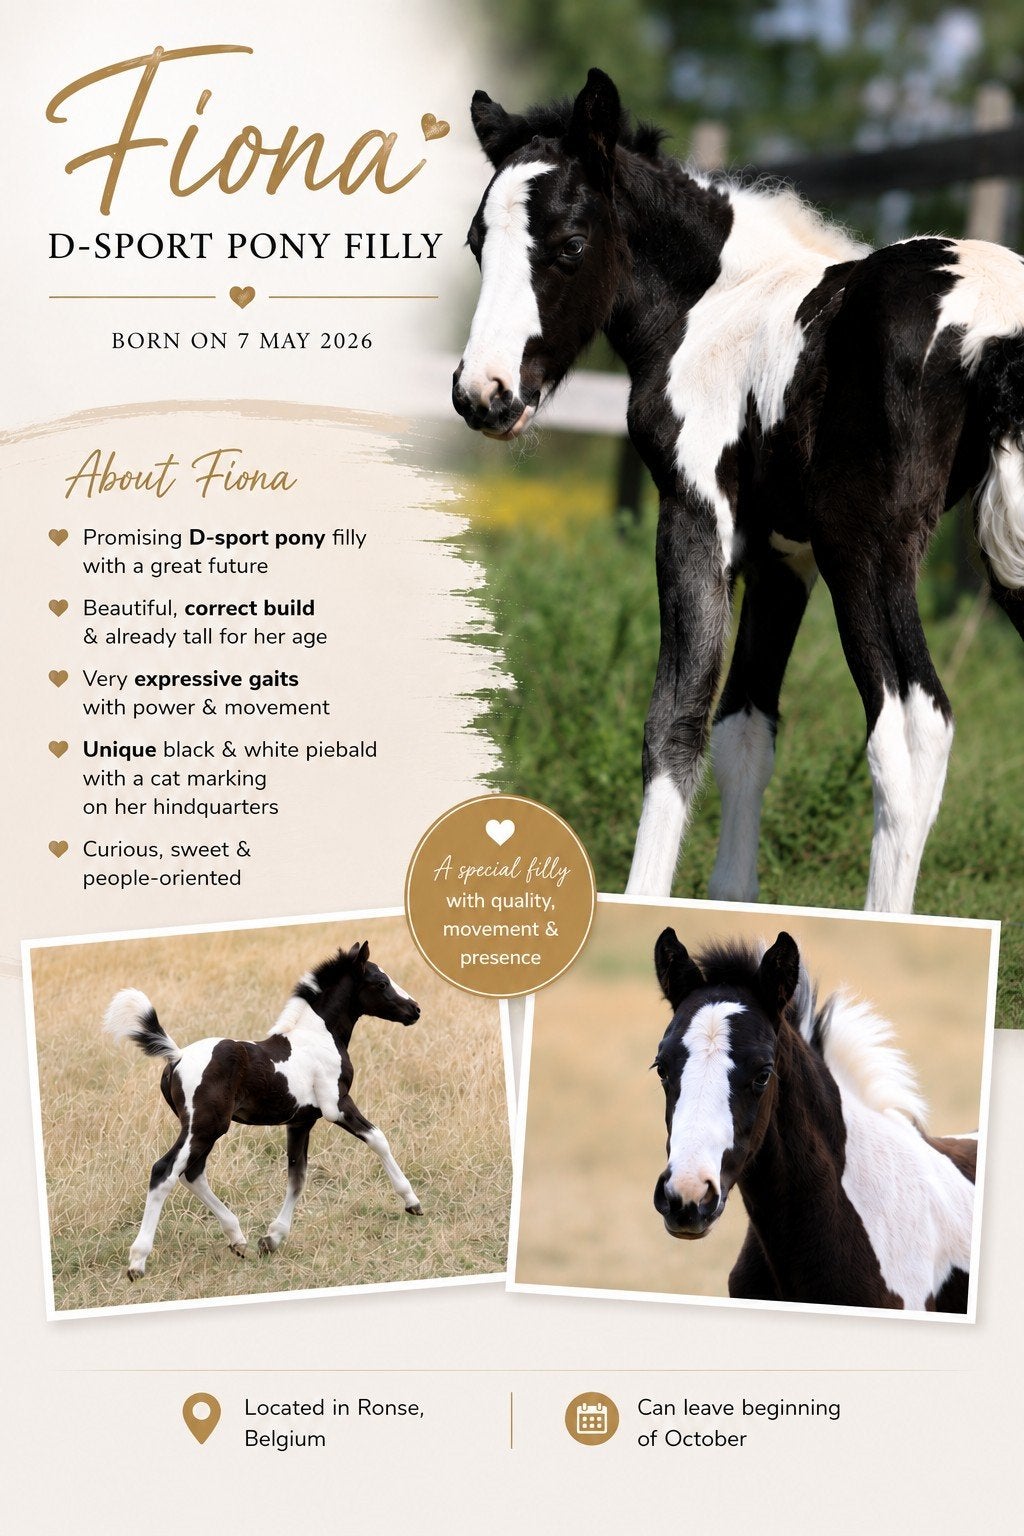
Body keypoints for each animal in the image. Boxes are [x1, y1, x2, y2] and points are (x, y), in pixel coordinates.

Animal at [103, 940, 423, 1279]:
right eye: (381, 983)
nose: (415, 1010)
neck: (319, 1035)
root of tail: (177, 1056)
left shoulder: (301, 1121)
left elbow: (297, 1176)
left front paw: (271, 1238)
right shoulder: (336, 1105)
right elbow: (378, 1139)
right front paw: (412, 1201)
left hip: (204, 1128)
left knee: (193, 1173)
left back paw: (237, 1238)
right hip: (204, 1126)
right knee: (165, 1171)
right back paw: (138, 1261)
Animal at [453, 67, 1024, 914]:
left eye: (571, 245)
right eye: (475, 244)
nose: (483, 395)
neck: (718, 307)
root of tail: (997, 329)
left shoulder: (697, 520)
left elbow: (676, 720)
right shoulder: (783, 562)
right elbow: (746, 727)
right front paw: (730, 905)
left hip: (866, 549)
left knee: (908, 730)